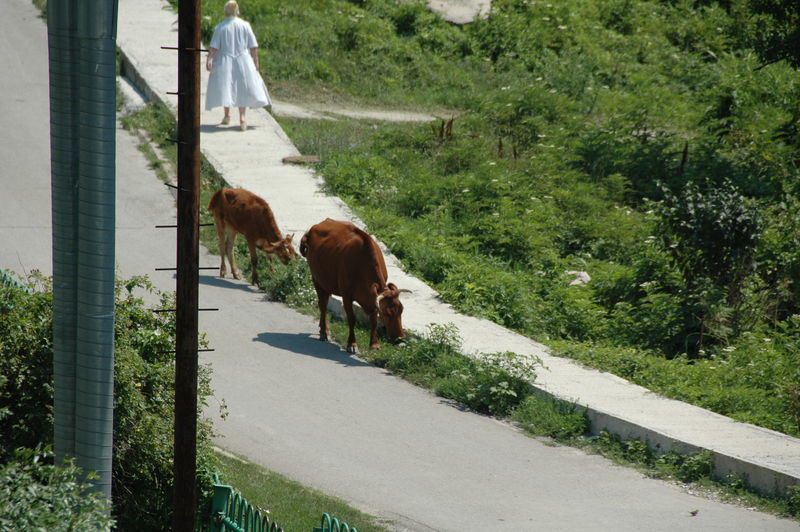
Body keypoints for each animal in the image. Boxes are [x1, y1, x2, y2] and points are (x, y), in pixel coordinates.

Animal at [302, 218, 406, 352]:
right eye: (386, 313)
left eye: (401, 310)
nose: (399, 339)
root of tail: (316, 225)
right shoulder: (346, 296)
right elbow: (352, 319)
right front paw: (351, 344)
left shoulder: (373, 298)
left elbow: (373, 321)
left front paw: (374, 344)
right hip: (317, 279)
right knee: (323, 306)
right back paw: (324, 332)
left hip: (327, 283)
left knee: (325, 302)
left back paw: (325, 329)